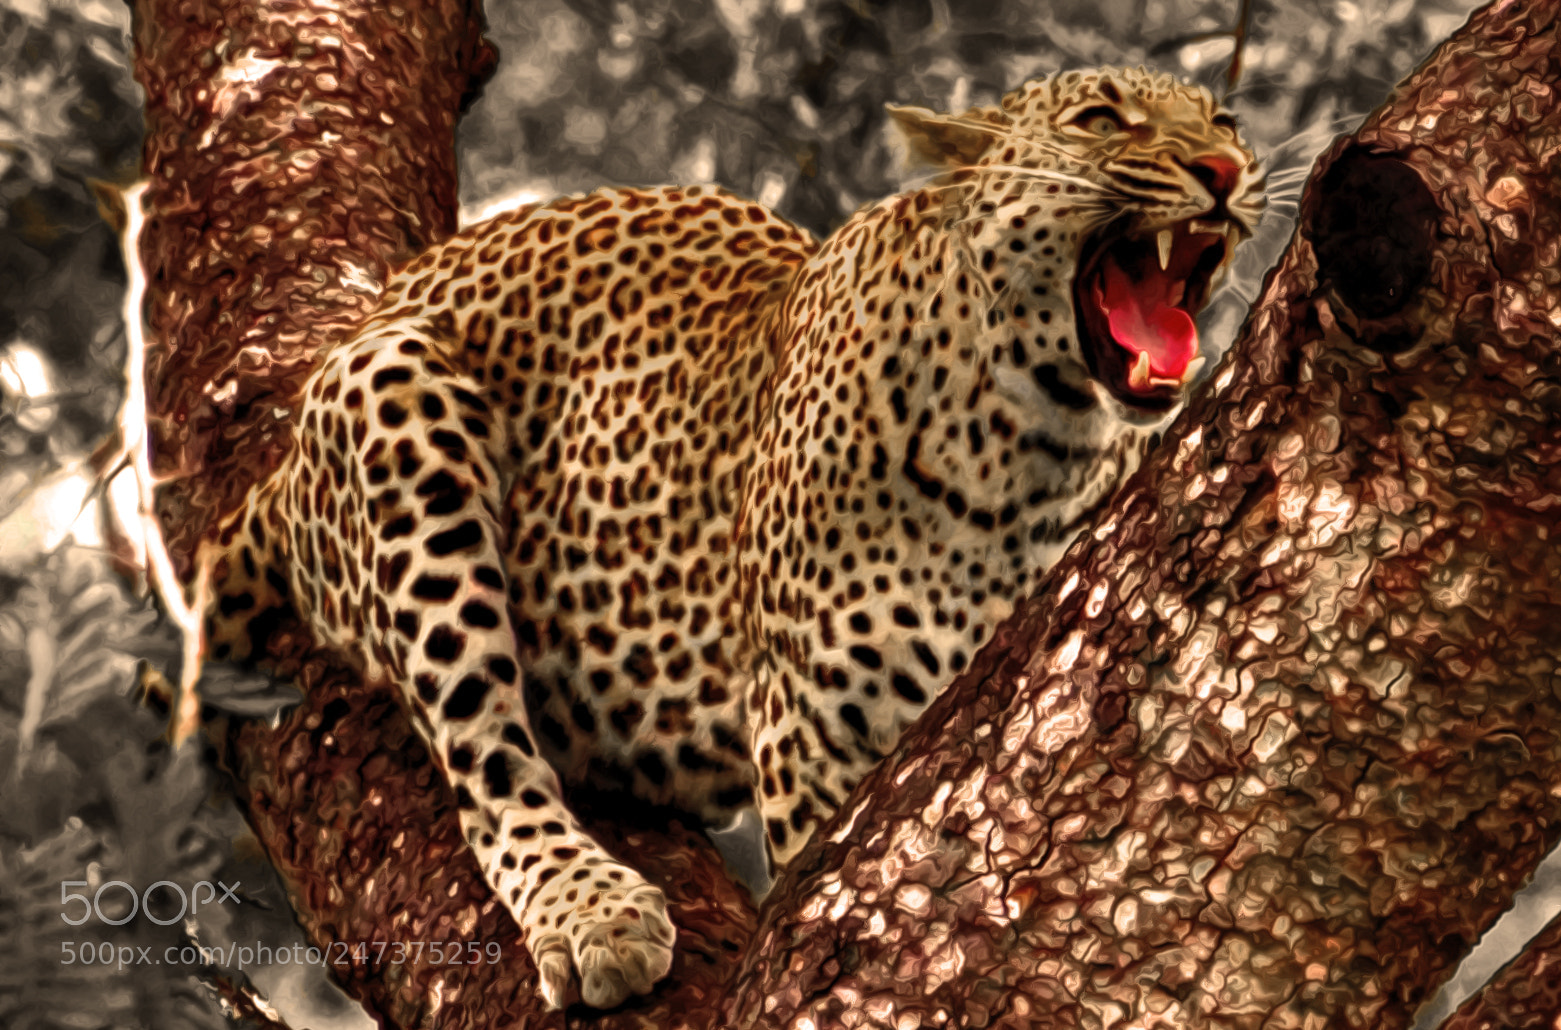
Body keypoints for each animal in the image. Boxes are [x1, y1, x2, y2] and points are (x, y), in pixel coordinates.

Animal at [197, 66, 1263, 1010]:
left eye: (1224, 119)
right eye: (1100, 120)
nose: (1224, 168)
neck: (1036, 444)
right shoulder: (821, 749)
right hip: (396, 400)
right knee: (491, 767)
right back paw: (592, 912)